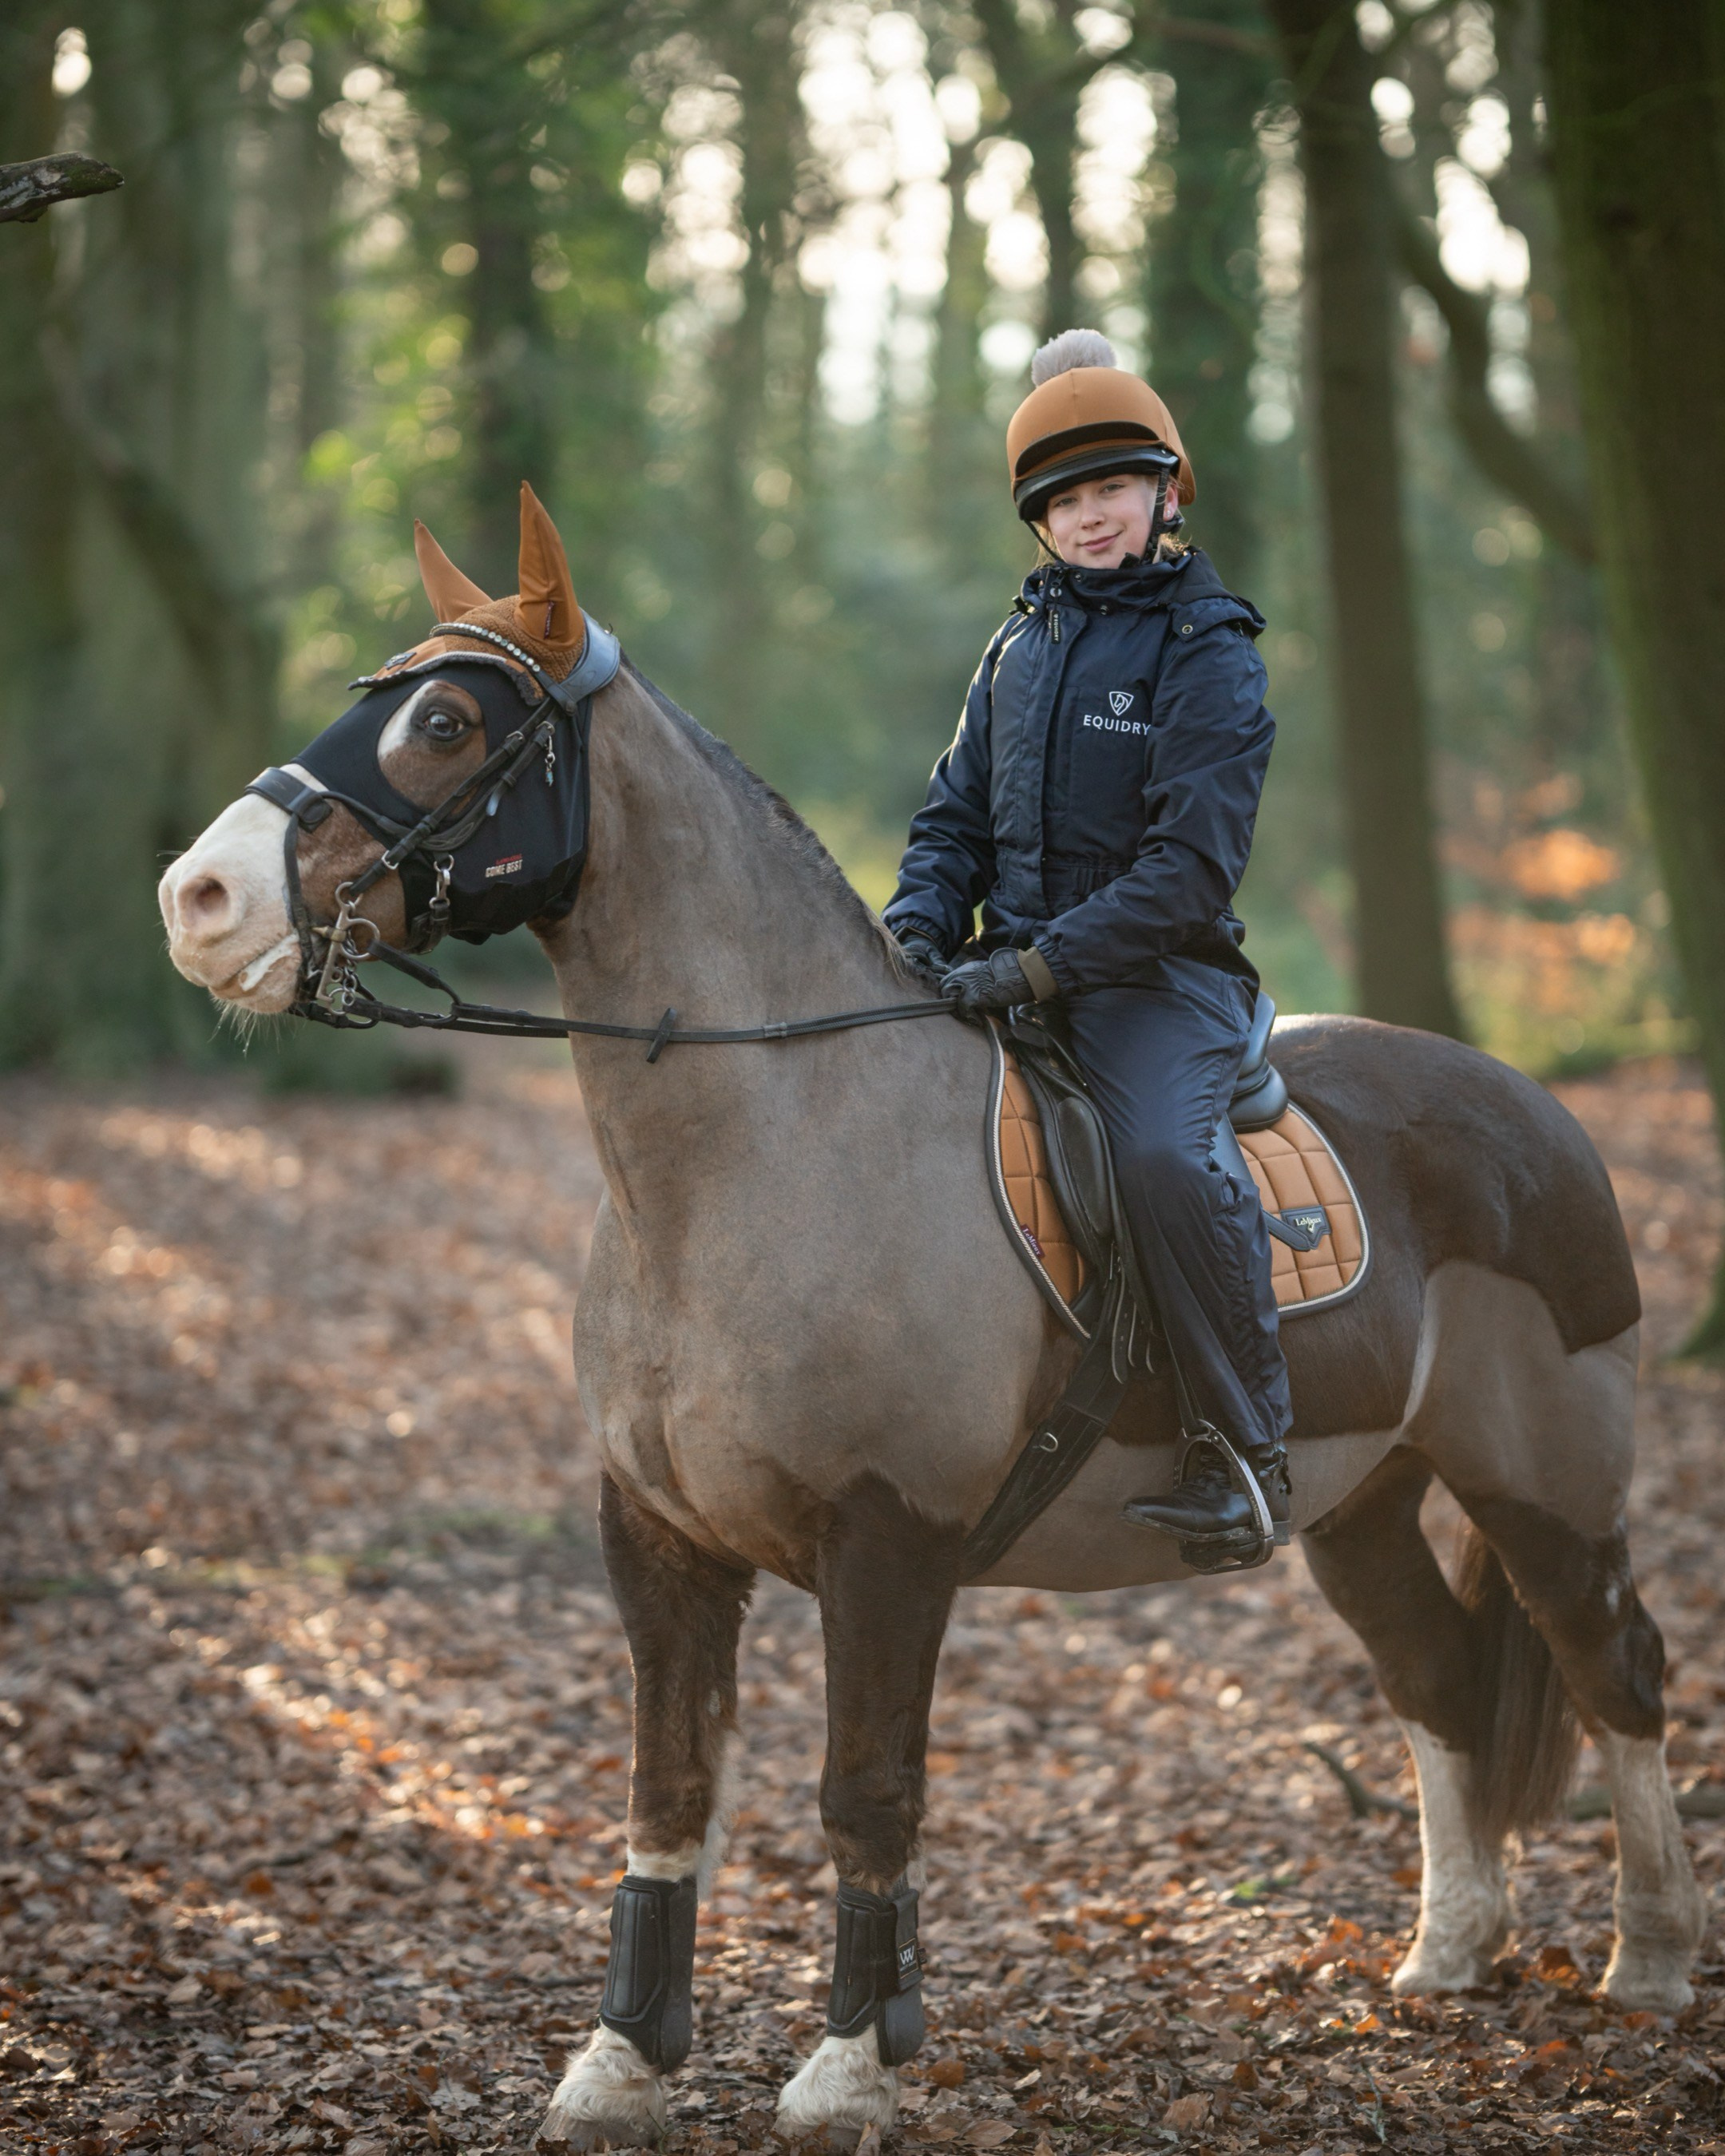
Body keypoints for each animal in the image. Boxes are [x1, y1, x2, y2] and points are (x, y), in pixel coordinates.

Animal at [158, 487, 1704, 2147]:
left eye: (445, 720)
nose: (198, 899)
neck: (765, 1147)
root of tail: (1533, 1110)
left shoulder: (888, 1541)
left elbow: (868, 1795)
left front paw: (849, 2067)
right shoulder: (660, 1540)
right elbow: (668, 1794)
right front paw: (624, 2063)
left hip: (1544, 1486)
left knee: (1617, 1670)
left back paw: (1653, 1960)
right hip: (1361, 1505)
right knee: (1440, 1681)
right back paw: (1450, 1954)